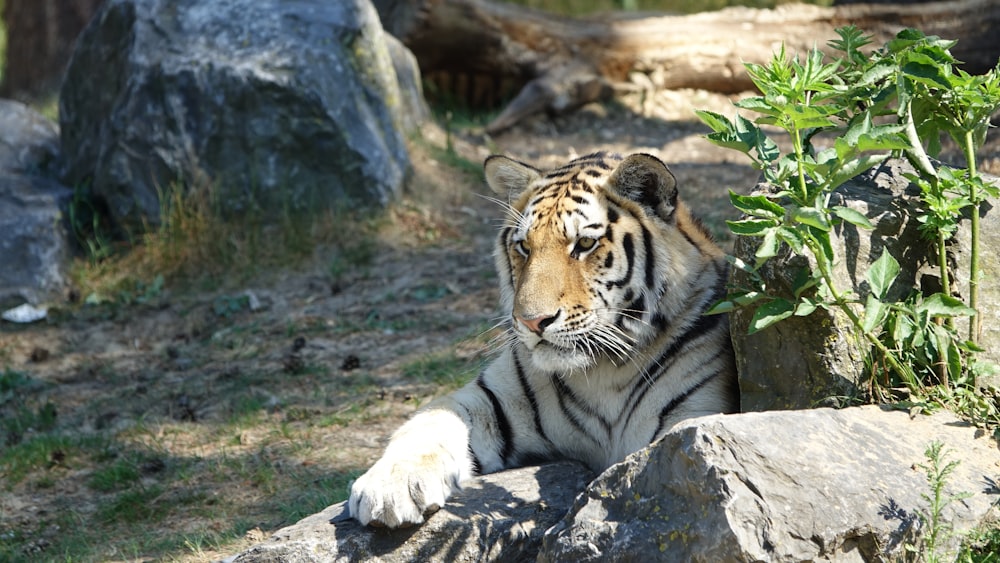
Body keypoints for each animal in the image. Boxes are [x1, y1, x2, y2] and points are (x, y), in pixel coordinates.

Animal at [348, 150, 740, 528]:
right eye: (523, 247)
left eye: (584, 243)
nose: (532, 321)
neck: (606, 370)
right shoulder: (489, 399)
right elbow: (428, 422)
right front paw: (390, 487)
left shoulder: (695, 411)